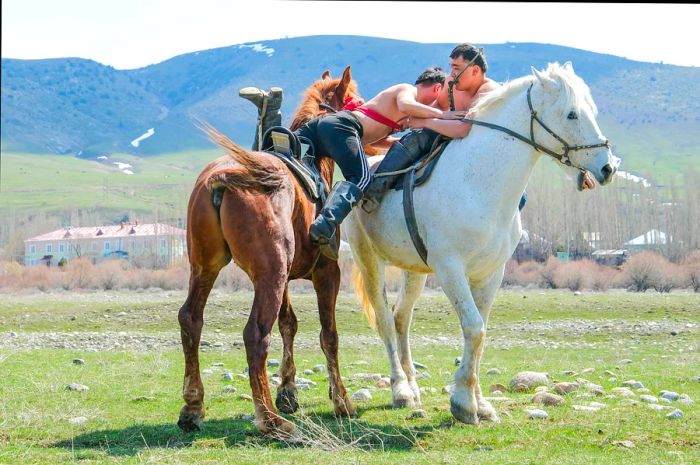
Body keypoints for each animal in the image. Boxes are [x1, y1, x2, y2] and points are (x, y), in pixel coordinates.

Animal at [176, 66, 366, 436]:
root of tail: (226, 175)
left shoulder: (284, 279)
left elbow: (288, 324)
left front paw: (288, 392)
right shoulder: (326, 274)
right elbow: (329, 336)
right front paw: (341, 401)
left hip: (209, 268)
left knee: (191, 319)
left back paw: (193, 407)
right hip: (271, 274)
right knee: (255, 335)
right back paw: (270, 420)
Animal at [344, 61, 616, 424]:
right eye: (572, 114)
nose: (608, 167)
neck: (479, 180)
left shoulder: (490, 272)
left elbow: (480, 334)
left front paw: (480, 403)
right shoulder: (450, 269)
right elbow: (474, 328)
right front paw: (463, 403)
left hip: (413, 270)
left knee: (401, 318)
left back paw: (413, 388)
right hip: (368, 260)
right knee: (386, 320)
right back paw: (401, 389)